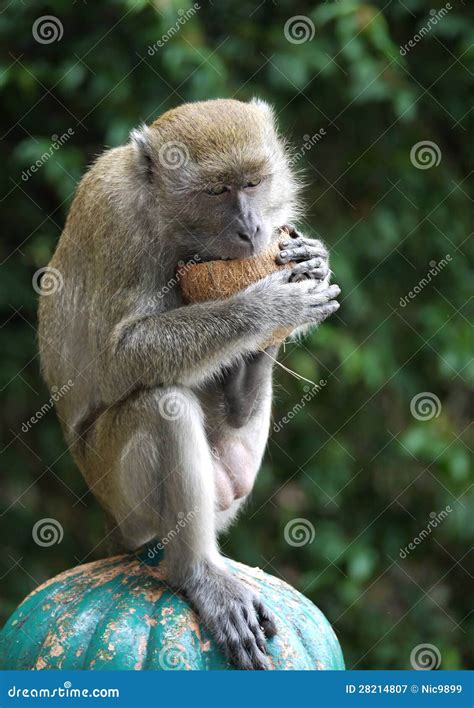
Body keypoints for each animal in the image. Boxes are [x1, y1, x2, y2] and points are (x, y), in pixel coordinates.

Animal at [38, 98, 340, 668]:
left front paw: (312, 256)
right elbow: (118, 357)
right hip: (125, 499)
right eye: (217, 191)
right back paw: (198, 574)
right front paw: (266, 307)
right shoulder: (121, 225)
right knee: (162, 405)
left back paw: (247, 385)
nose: (251, 229)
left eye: (254, 183)